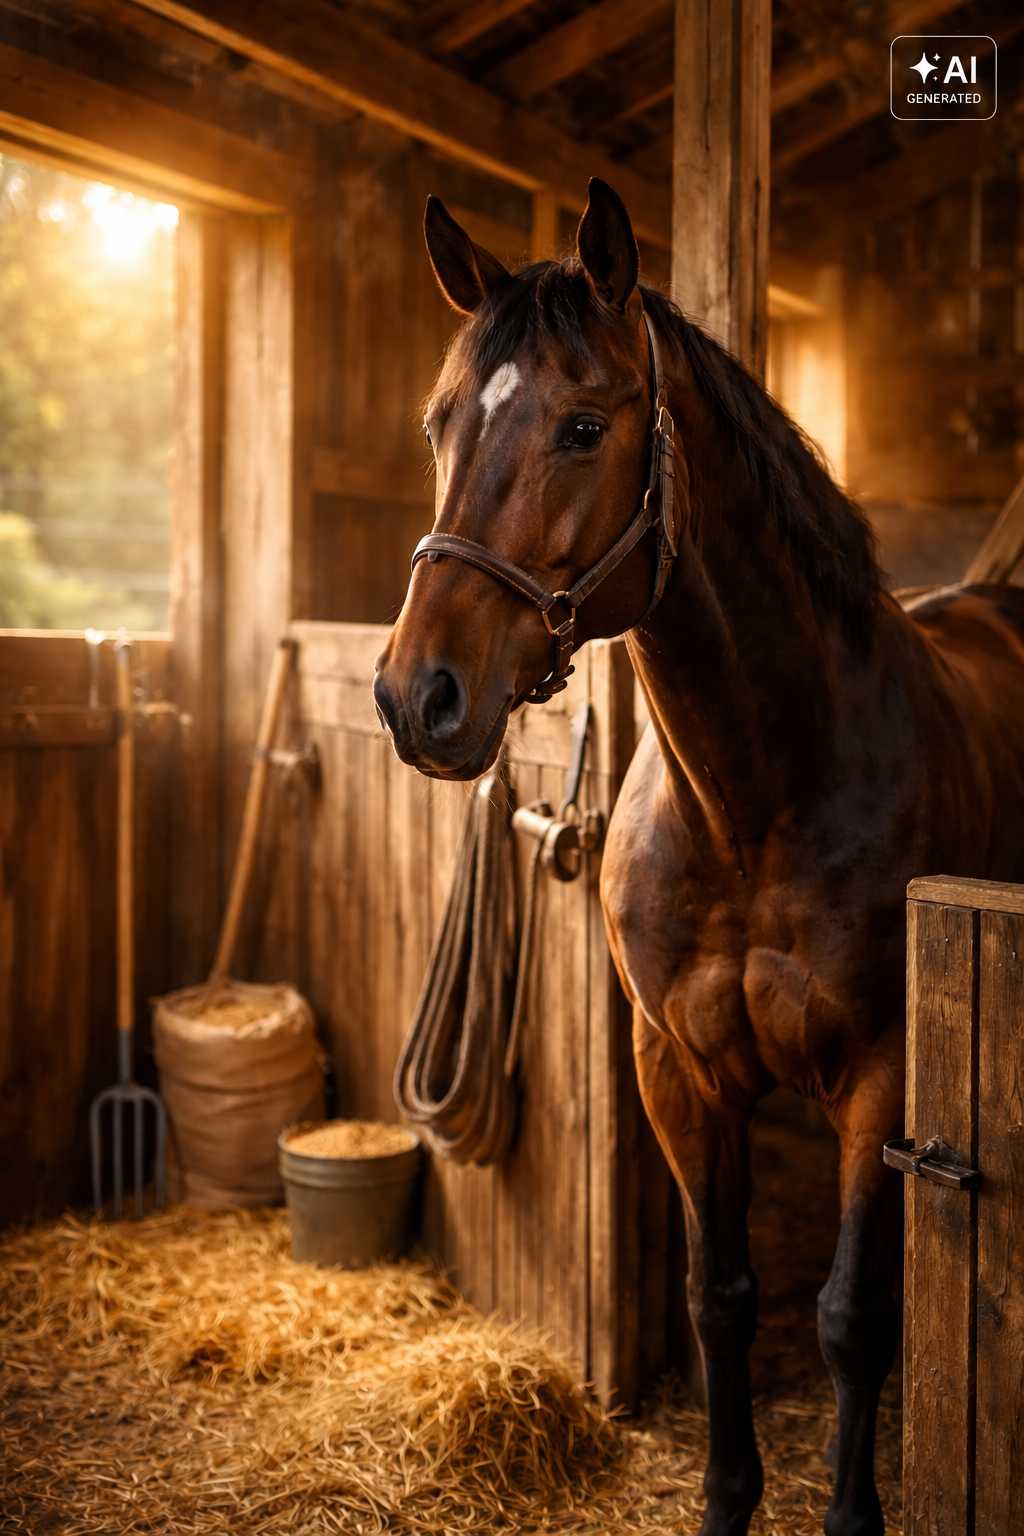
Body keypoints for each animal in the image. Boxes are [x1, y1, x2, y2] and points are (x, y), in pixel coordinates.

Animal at [372, 177, 1024, 1536]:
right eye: (439, 423)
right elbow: (718, 1296)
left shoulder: (884, 1080)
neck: (749, 808)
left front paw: (850, 1513)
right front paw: (727, 1501)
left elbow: (851, 1318)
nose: (416, 697)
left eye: (581, 425)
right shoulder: (676, 1070)